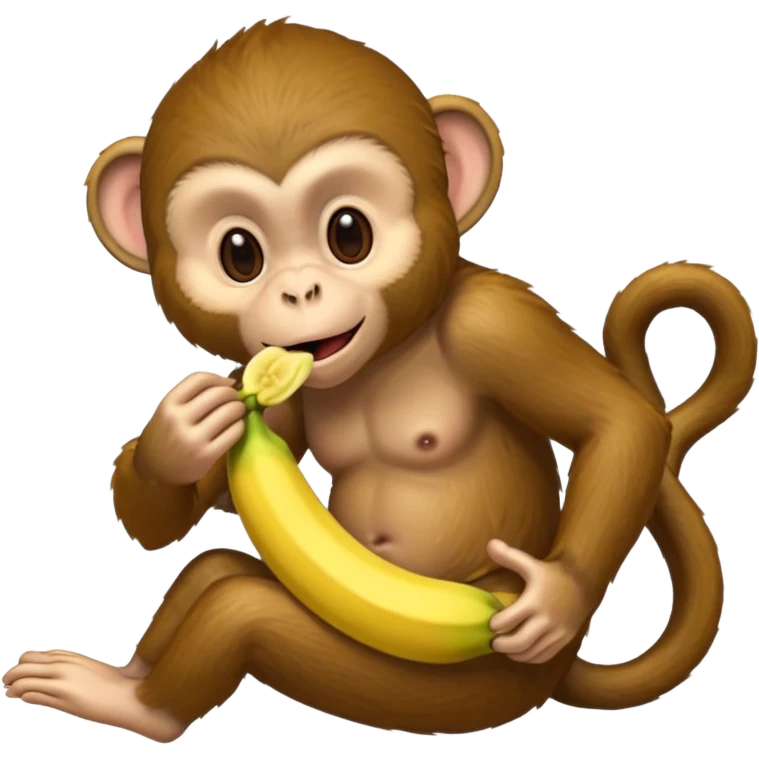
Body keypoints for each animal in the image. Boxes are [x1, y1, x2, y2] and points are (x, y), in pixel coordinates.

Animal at [3, 19, 755, 743]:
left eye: (348, 233)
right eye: (240, 254)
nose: (300, 292)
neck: (391, 350)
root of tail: (557, 673)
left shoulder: (496, 322)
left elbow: (614, 422)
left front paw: (553, 599)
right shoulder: (268, 385)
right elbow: (196, 498)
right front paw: (180, 433)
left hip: (437, 683)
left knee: (240, 608)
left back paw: (140, 707)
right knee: (214, 569)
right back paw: (127, 678)